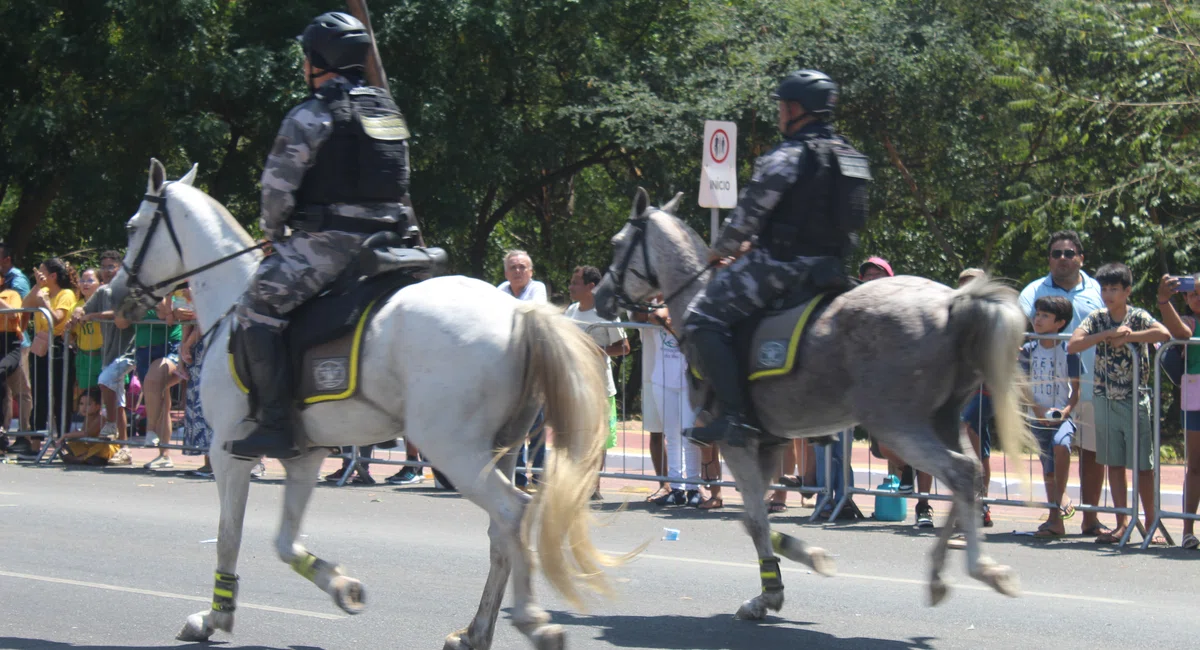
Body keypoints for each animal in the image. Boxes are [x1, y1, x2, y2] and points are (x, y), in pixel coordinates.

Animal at [110, 159, 619, 650]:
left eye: (133, 227)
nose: (114, 296)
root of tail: (518, 312)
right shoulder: (304, 456)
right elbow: (284, 542)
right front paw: (341, 586)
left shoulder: (227, 452)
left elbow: (227, 538)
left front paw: (215, 617)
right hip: (503, 448)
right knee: (501, 534)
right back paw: (476, 632)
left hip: (455, 451)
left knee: (513, 513)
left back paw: (534, 623)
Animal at [595, 189, 1036, 623]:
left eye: (617, 243)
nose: (600, 296)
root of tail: (954, 302)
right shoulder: (769, 443)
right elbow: (752, 518)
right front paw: (800, 564)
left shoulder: (736, 442)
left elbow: (755, 519)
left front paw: (771, 592)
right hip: (943, 420)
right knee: (972, 474)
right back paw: (950, 573)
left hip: (897, 425)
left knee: (960, 473)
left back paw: (973, 569)